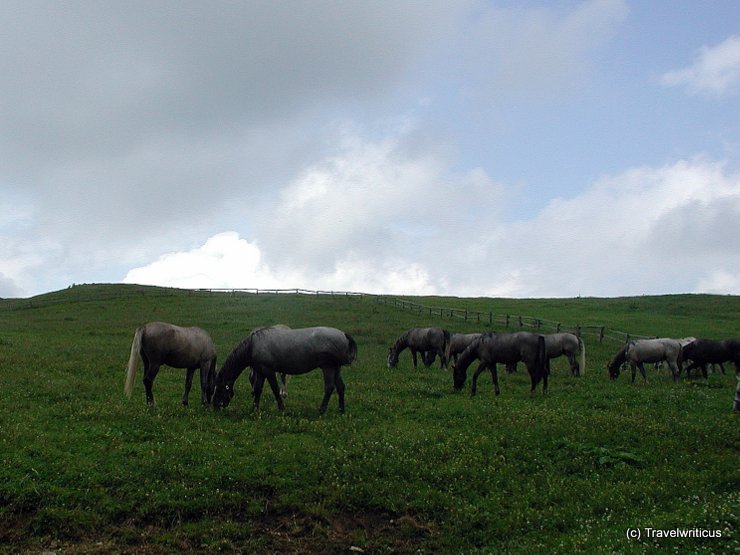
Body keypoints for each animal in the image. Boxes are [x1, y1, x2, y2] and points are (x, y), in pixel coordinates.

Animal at [212, 328, 356, 414]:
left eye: (218, 389)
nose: (215, 406)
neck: (253, 345)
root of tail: (344, 335)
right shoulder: (260, 372)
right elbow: (258, 390)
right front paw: (254, 409)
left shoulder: (268, 371)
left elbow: (275, 390)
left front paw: (282, 408)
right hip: (336, 368)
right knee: (340, 387)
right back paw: (341, 410)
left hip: (328, 367)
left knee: (329, 387)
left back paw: (321, 410)